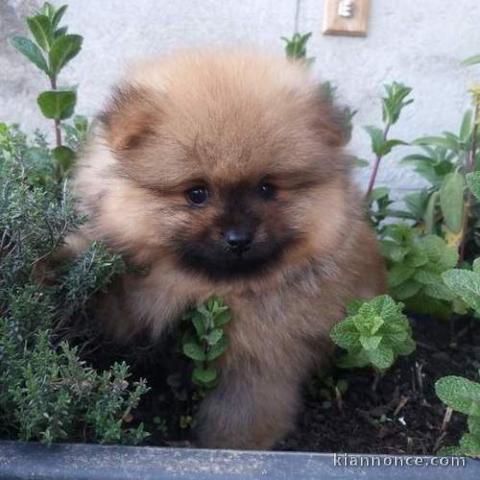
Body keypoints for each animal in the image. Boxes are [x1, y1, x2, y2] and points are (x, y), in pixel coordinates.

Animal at [68, 49, 386, 450]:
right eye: (197, 193)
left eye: (266, 188)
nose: (238, 238)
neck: (209, 289)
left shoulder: (261, 357)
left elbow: (244, 411)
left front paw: (230, 445)